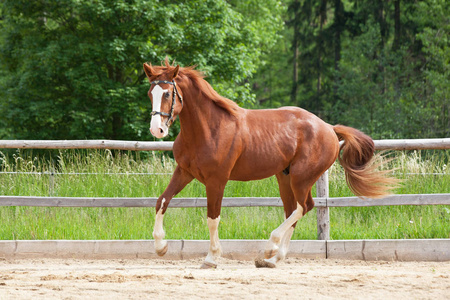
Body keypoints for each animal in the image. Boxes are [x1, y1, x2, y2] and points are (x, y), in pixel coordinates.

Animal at [144, 59, 394, 268]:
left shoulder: (217, 180)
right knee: (294, 210)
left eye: (167, 94)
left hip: (301, 178)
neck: (207, 129)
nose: (157, 130)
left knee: (303, 207)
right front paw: (161, 247)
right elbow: (161, 201)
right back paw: (273, 259)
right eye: (150, 93)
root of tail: (329, 128)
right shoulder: (184, 172)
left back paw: (269, 248)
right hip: (285, 177)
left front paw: (211, 258)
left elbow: (212, 218)